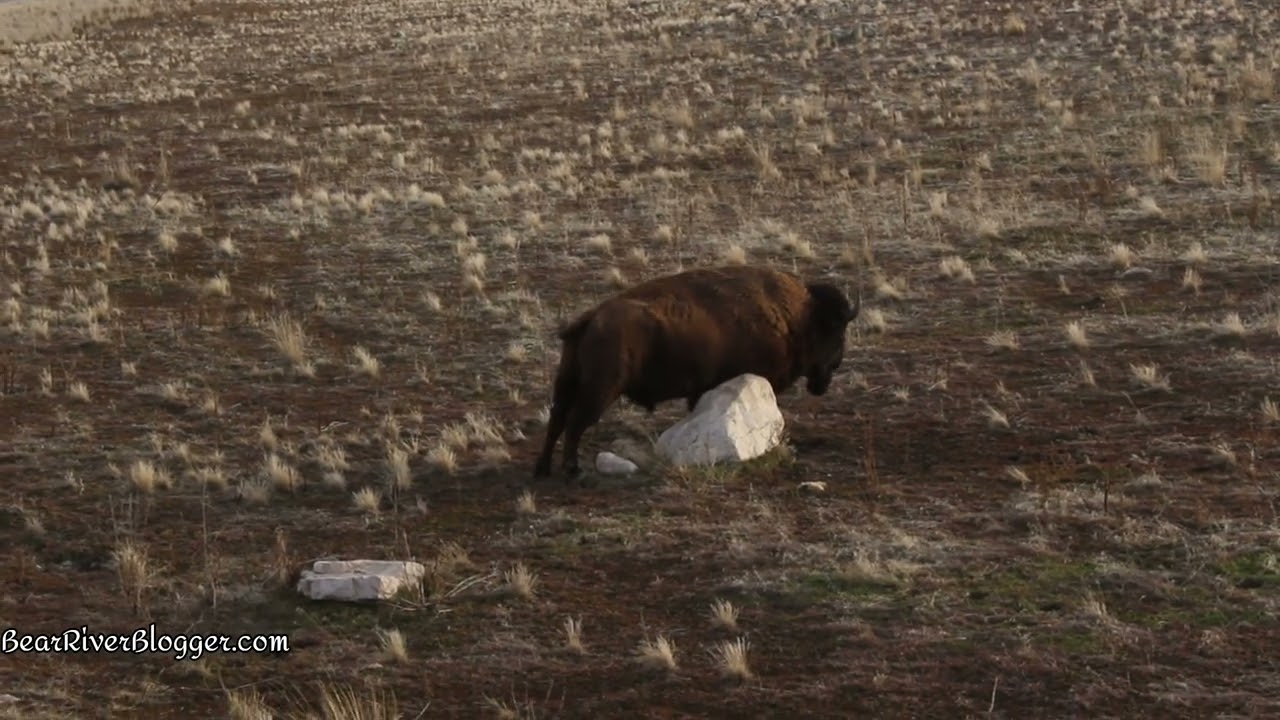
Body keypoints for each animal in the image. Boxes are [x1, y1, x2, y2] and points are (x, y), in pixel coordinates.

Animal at [533, 264, 860, 480]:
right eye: (837, 330)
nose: (831, 371)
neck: (799, 317)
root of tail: (591, 318)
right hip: (601, 389)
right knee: (575, 422)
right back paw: (571, 470)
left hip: (568, 381)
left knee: (557, 420)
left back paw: (543, 470)